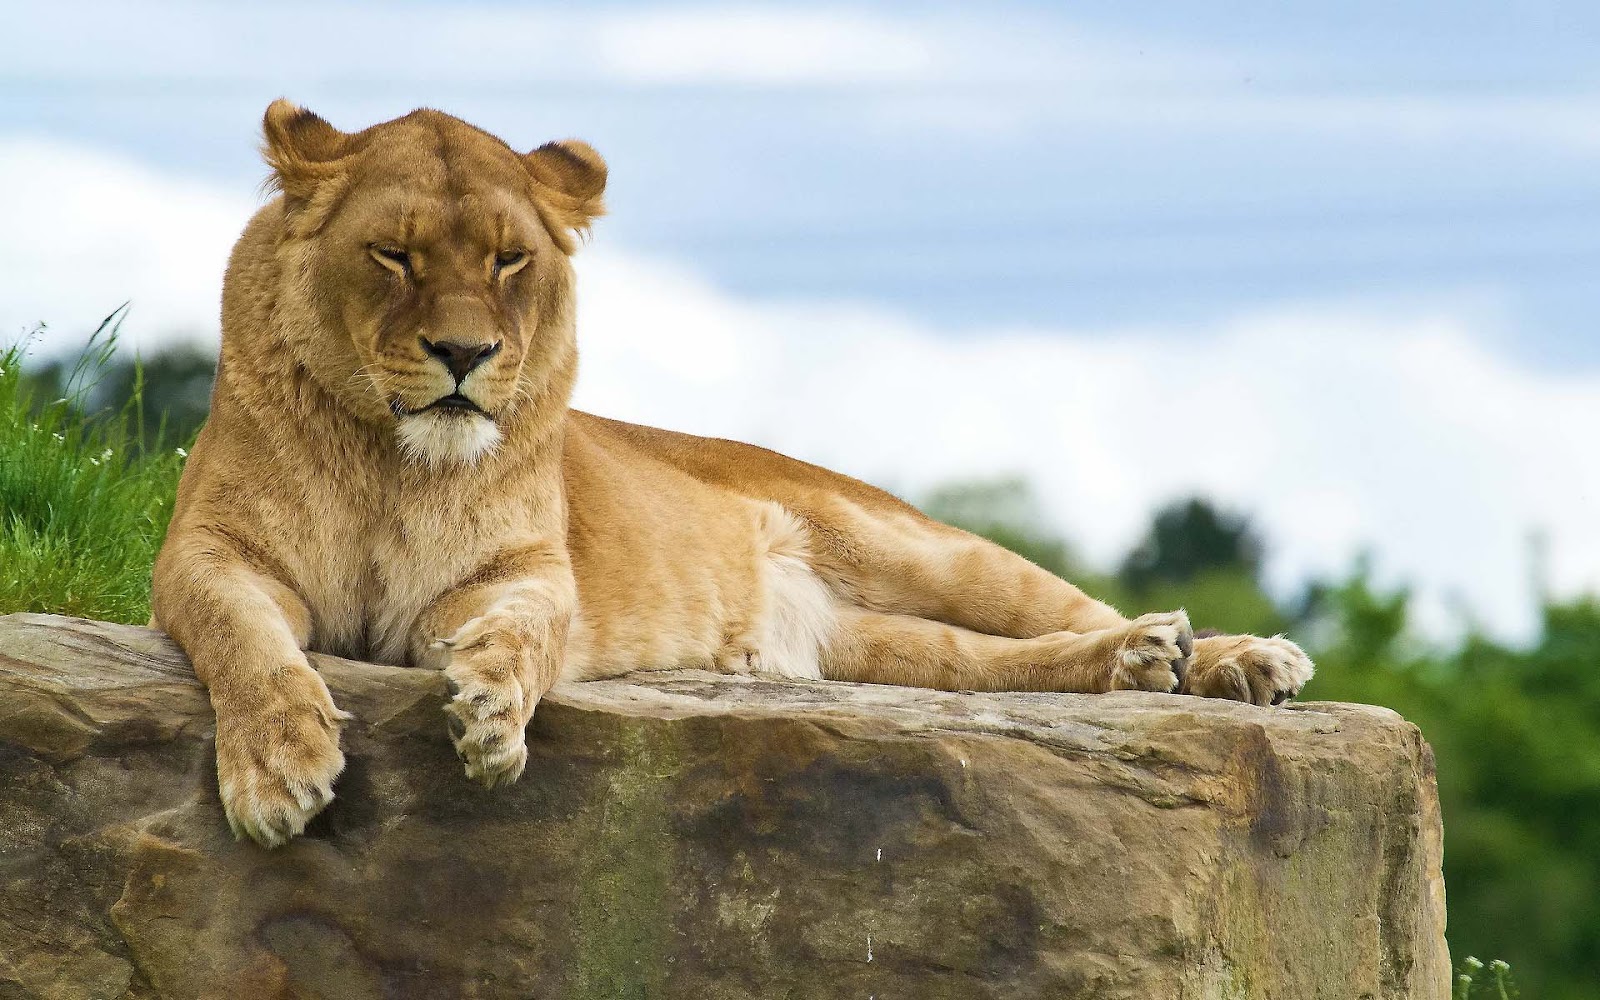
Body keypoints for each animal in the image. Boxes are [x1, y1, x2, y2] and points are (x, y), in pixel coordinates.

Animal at [150, 101, 1314, 847]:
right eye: (393, 256)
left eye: (508, 261)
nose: (464, 354)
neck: (392, 464)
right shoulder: (203, 554)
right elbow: (246, 644)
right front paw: (278, 769)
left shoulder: (526, 573)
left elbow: (527, 633)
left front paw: (488, 711)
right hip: (865, 650)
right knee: (996, 666)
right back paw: (1146, 664)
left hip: (912, 543)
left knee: (1064, 607)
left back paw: (1229, 659)